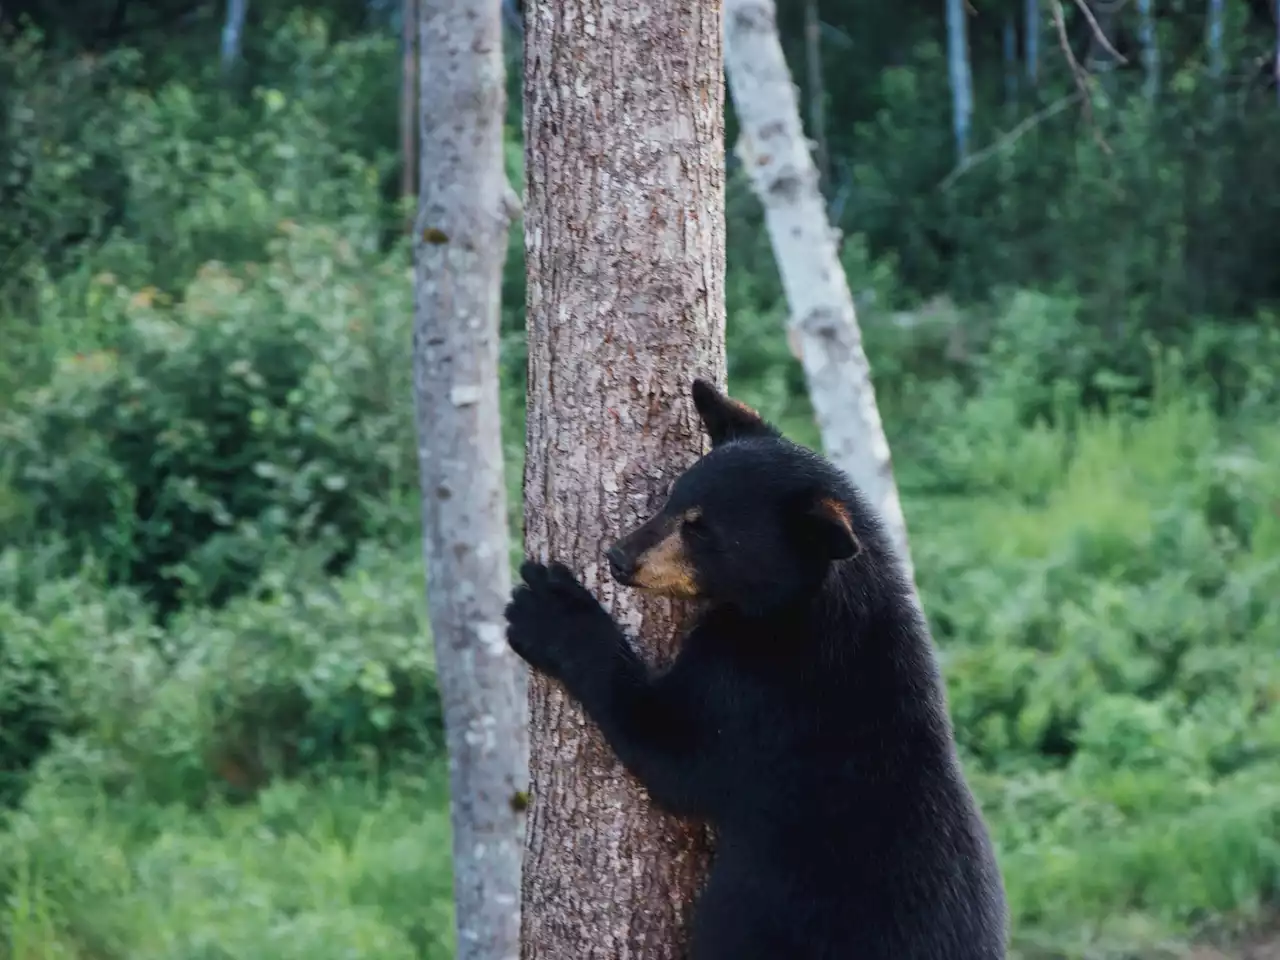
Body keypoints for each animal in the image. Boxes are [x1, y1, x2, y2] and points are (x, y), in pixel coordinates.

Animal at [504, 378, 1003, 960]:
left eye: (703, 531)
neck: (805, 607)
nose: (619, 558)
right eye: (673, 499)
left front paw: (548, 611)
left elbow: (673, 749)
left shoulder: (764, 693)